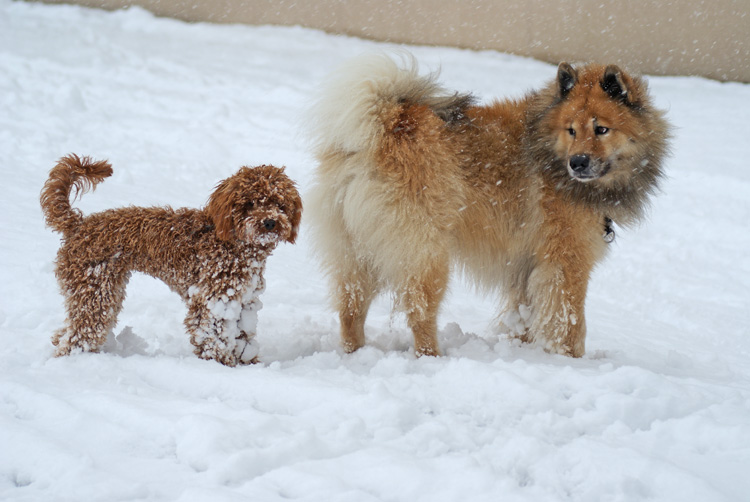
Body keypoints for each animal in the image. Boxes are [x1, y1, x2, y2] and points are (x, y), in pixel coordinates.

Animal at [308, 54, 672, 356]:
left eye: (601, 129)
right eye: (571, 130)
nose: (578, 162)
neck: (548, 150)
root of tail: (382, 127)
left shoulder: (528, 268)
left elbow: (525, 318)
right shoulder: (567, 263)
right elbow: (571, 322)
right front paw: (572, 361)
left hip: (357, 254)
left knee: (350, 310)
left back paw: (354, 354)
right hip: (425, 254)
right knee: (419, 312)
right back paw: (432, 357)